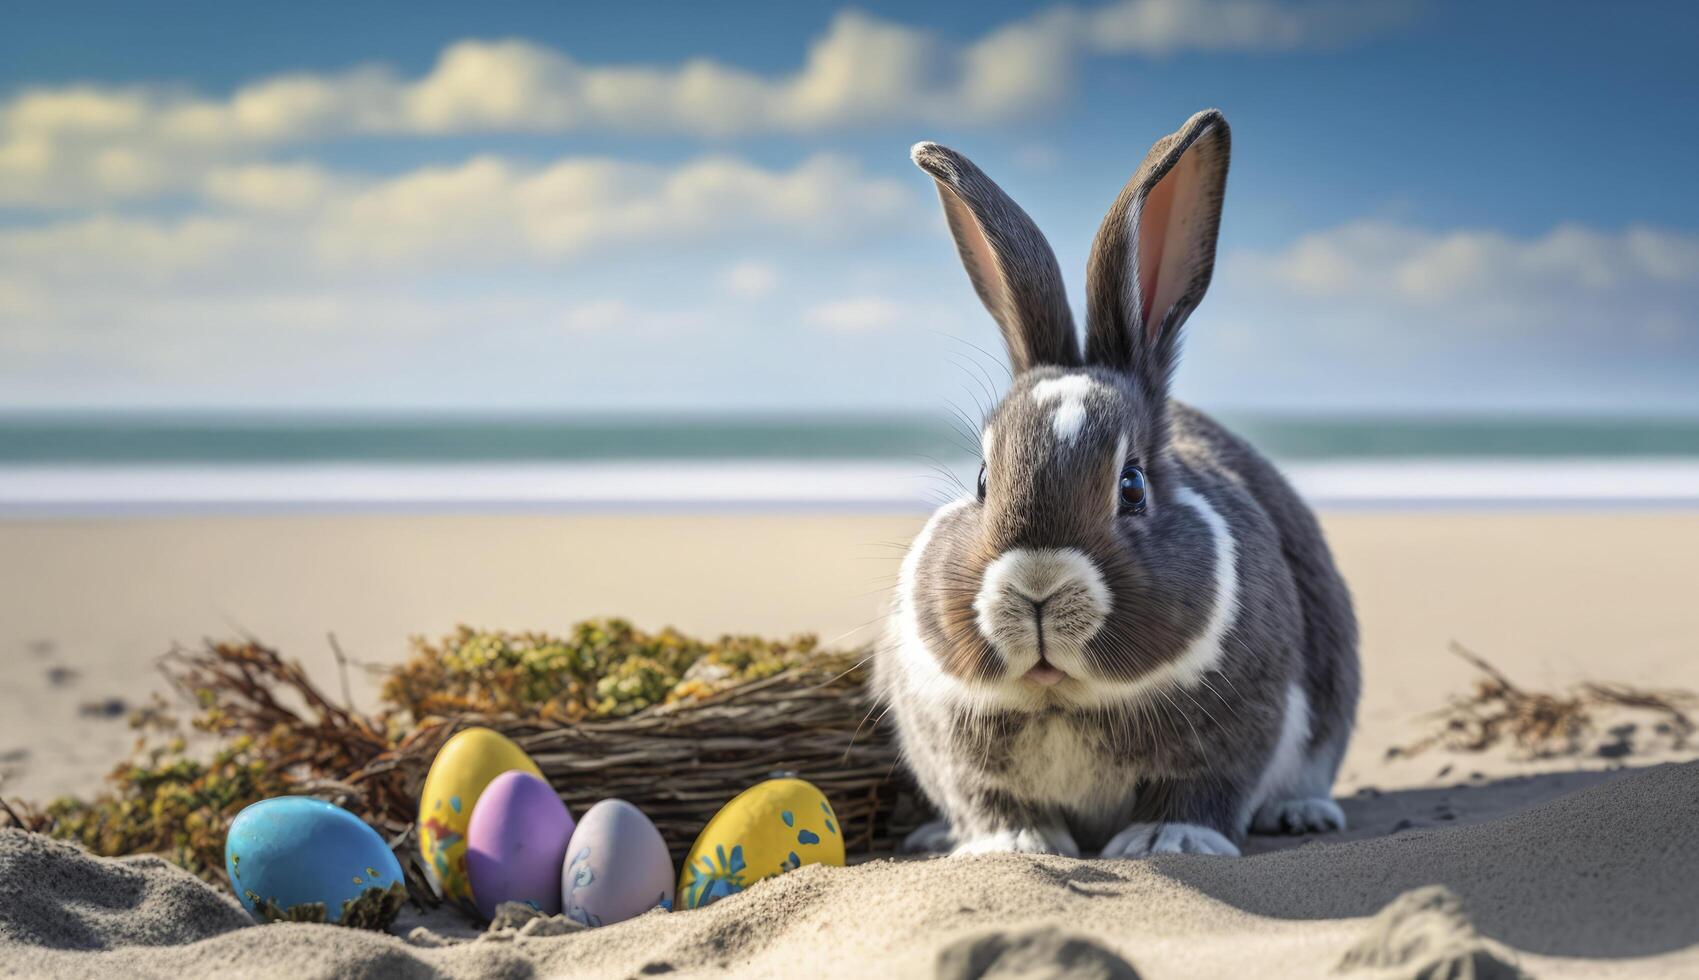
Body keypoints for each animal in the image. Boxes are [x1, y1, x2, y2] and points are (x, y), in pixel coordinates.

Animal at [883, 108, 1359, 856]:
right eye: (983, 479)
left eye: (1131, 486)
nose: (1037, 589)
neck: (1062, 696)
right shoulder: (957, 753)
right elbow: (993, 801)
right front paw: (1014, 845)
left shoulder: (1234, 734)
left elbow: (1198, 791)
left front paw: (1167, 841)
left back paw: (1302, 813)